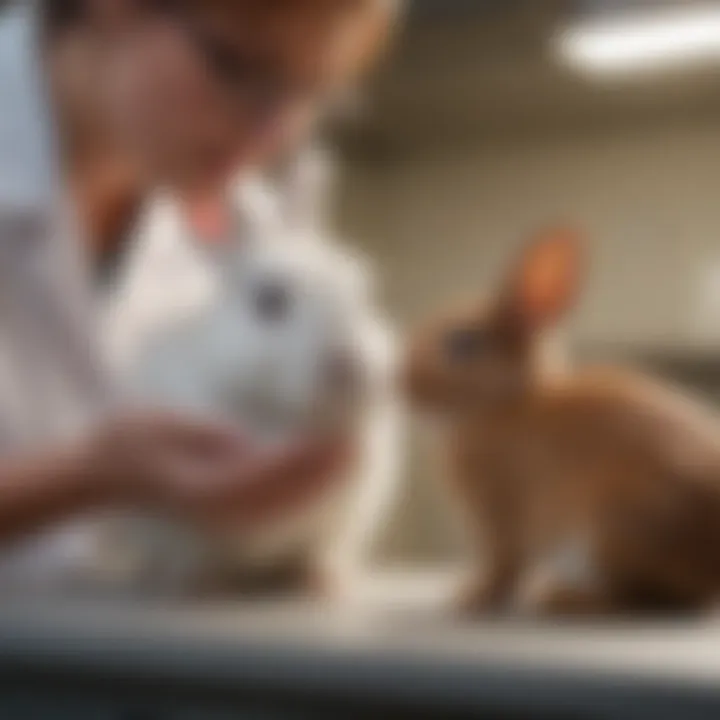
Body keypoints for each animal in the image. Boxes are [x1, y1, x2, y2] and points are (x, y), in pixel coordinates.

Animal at [404, 228, 720, 616]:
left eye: (462, 342)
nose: (399, 381)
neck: (505, 401)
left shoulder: (502, 518)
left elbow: (502, 566)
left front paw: (471, 600)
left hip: (617, 527)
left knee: (647, 598)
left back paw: (562, 596)